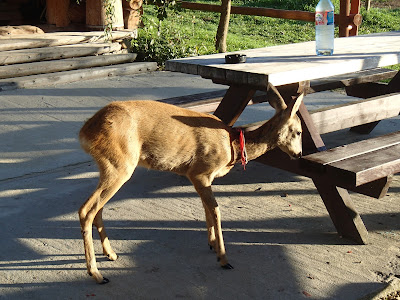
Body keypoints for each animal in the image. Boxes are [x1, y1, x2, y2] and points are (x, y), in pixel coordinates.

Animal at [78, 91, 304, 284]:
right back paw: (96, 273)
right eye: (299, 131)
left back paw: (111, 254)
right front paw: (223, 258)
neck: (232, 147)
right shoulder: (200, 172)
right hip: (120, 165)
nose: (299, 154)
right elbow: (215, 210)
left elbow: (206, 208)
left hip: (110, 167)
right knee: (86, 210)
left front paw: (212, 243)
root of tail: (84, 132)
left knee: (96, 209)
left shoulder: (199, 177)